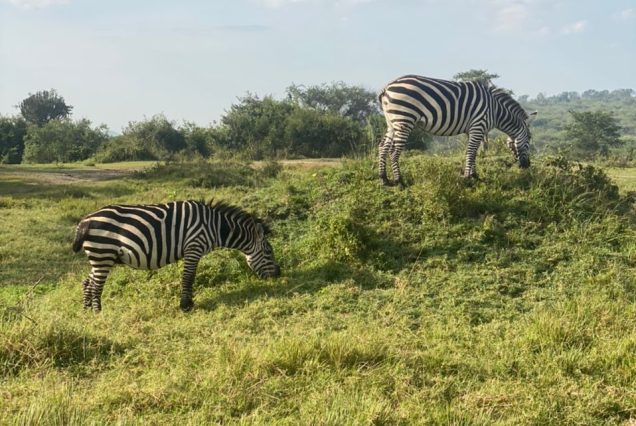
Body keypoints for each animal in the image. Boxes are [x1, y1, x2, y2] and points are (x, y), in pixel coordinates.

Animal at [71, 200, 280, 312]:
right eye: (269, 252)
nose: (279, 274)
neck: (216, 226)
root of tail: (85, 221)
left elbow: (189, 278)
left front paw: (188, 303)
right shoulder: (194, 247)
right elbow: (188, 277)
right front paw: (186, 305)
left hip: (101, 257)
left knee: (87, 282)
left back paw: (86, 311)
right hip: (103, 253)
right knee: (96, 286)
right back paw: (98, 313)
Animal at [378, 74, 536, 186]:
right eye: (529, 138)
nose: (527, 165)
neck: (496, 109)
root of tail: (386, 87)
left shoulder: (472, 130)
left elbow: (474, 152)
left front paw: (475, 176)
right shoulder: (478, 125)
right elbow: (471, 151)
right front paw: (467, 177)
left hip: (392, 122)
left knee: (382, 147)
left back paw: (384, 179)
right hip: (404, 119)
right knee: (394, 152)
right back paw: (400, 182)